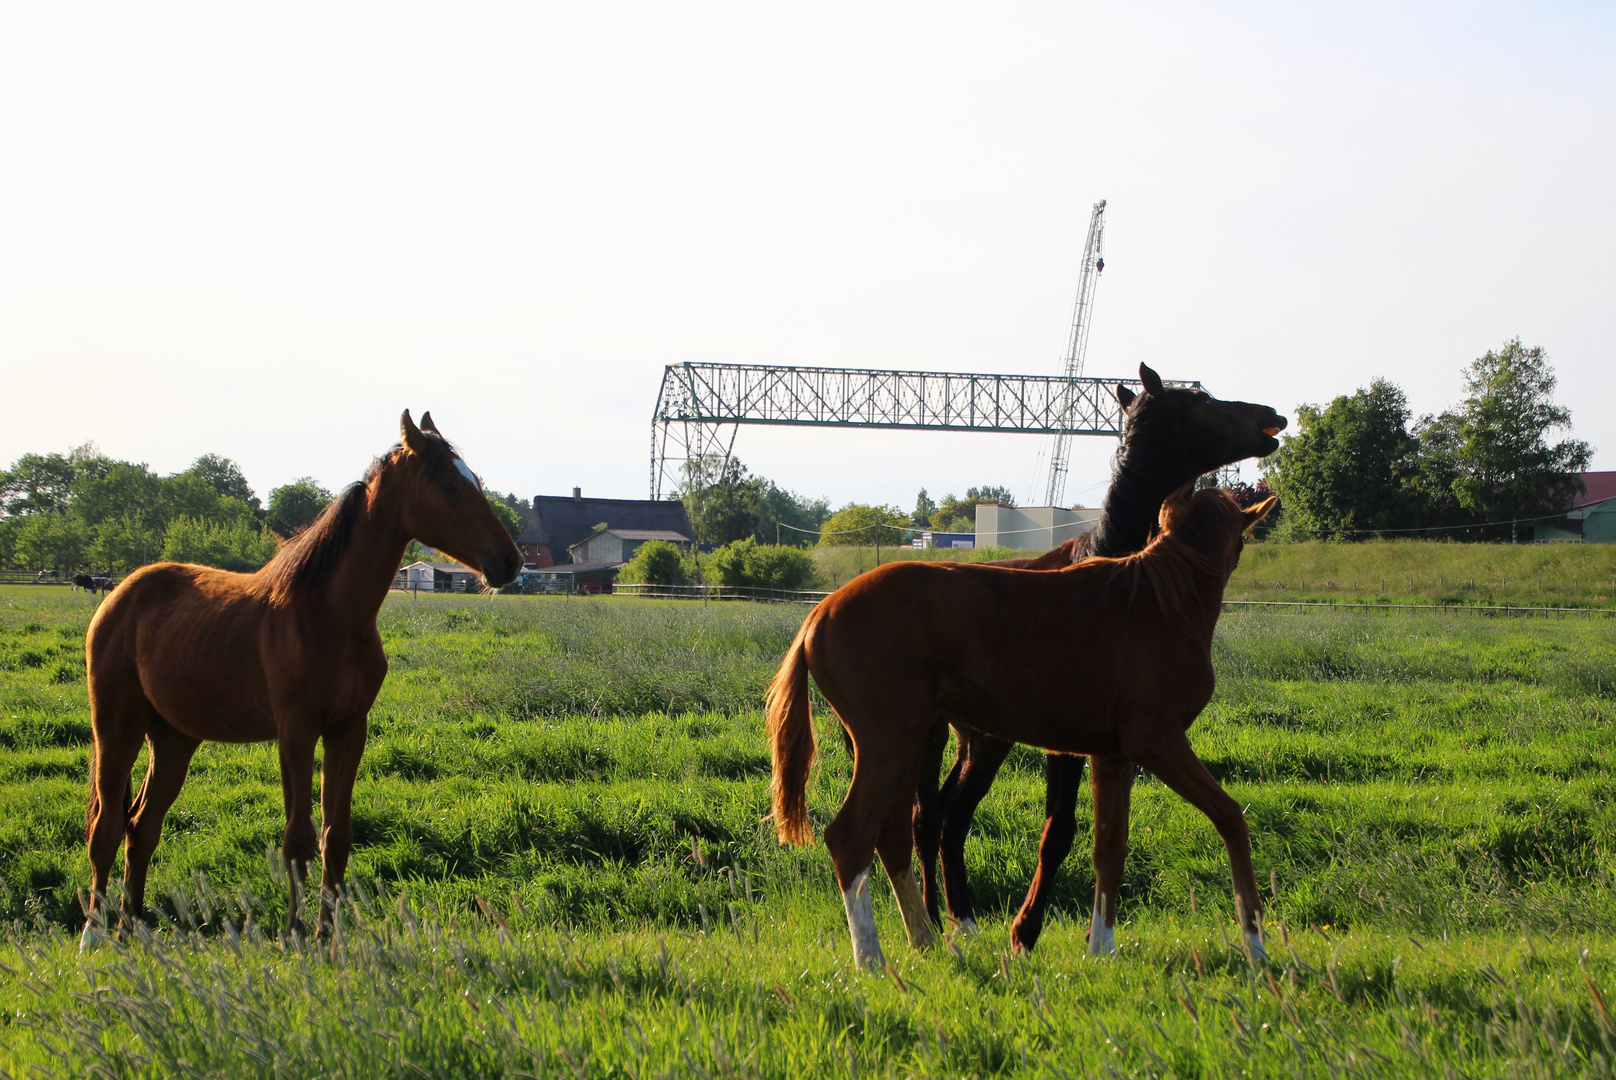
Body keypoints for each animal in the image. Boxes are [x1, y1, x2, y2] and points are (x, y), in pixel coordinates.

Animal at [82, 413, 517, 944]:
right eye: (450, 486)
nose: (510, 561)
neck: (330, 613)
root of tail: (118, 594)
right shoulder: (296, 731)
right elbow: (297, 837)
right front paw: (294, 931)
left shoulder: (348, 730)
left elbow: (336, 835)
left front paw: (327, 932)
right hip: (116, 727)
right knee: (106, 827)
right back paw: (92, 934)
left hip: (173, 738)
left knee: (142, 827)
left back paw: (131, 926)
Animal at [765, 488, 1273, 970]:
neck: (1161, 601)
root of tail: (818, 615)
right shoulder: (1159, 744)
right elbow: (1231, 819)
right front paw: (1255, 942)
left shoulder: (1113, 755)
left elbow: (1110, 847)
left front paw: (1101, 948)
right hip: (891, 745)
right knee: (851, 838)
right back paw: (871, 960)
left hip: (903, 746)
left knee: (891, 837)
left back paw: (925, 939)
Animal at [924, 365, 1286, 950]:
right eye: (1204, 402)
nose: (1272, 416)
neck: (1126, 564)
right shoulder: (1072, 744)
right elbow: (1059, 832)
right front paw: (1025, 933)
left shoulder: (1108, 745)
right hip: (987, 741)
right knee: (942, 819)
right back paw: (955, 921)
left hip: (976, 740)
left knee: (937, 817)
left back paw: (948, 920)